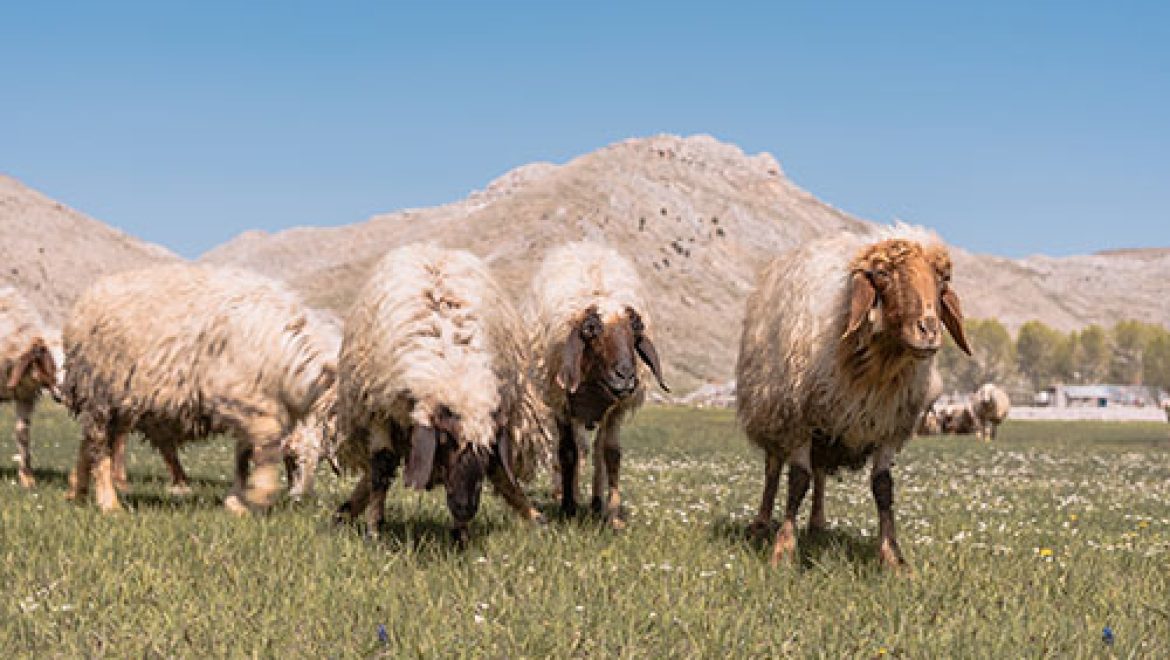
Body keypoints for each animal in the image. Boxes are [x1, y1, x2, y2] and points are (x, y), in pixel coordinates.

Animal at [61, 263, 336, 514]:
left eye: (319, 460)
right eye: (293, 460)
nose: (302, 499)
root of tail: (86, 298)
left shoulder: (248, 409)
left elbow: (243, 456)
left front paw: (236, 503)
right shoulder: (235, 397)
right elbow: (265, 442)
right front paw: (259, 492)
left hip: (120, 403)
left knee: (89, 443)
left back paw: (76, 491)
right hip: (98, 391)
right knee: (99, 447)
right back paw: (109, 503)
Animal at [334, 242, 552, 540]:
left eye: (484, 450)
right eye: (445, 440)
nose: (465, 508)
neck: (453, 370)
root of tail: (431, 247)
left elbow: (497, 469)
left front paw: (461, 535)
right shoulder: (379, 412)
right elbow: (381, 466)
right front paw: (374, 530)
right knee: (380, 467)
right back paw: (346, 513)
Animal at [531, 239, 669, 528]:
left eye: (635, 331)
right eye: (592, 331)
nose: (625, 376)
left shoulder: (615, 409)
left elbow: (611, 454)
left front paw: (613, 515)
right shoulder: (562, 405)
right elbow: (567, 453)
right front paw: (568, 508)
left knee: (595, 451)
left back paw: (596, 503)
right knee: (574, 451)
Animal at [734, 224, 973, 568]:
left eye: (942, 279)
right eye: (883, 273)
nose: (929, 330)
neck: (878, 364)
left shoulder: (887, 425)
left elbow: (883, 488)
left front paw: (892, 557)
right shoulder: (799, 420)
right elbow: (797, 481)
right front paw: (783, 550)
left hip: (825, 429)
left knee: (820, 472)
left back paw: (818, 524)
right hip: (772, 410)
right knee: (773, 470)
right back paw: (762, 522)